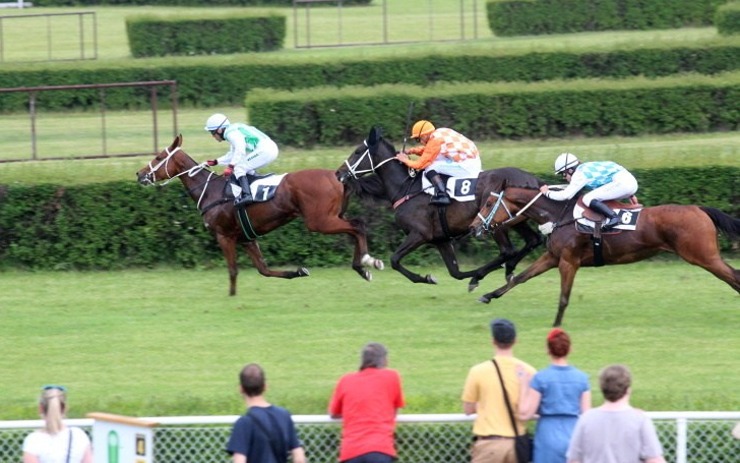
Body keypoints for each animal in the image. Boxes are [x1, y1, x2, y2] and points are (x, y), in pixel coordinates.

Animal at [135, 134, 384, 298]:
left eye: (158, 157)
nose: (139, 174)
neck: (211, 191)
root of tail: (337, 176)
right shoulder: (246, 238)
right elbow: (264, 270)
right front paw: (298, 271)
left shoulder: (224, 236)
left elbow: (233, 269)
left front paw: (231, 296)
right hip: (332, 216)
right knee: (357, 226)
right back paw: (362, 268)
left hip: (319, 221)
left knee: (357, 226)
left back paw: (367, 262)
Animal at [336, 125, 544, 288]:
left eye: (357, 151)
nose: (339, 173)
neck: (406, 187)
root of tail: (533, 179)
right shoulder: (441, 240)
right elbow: (455, 272)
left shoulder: (419, 233)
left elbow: (394, 260)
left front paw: (428, 278)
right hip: (517, 220)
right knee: (533, 240)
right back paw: (508, 269)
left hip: (494, 221)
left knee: (508, 250)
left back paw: (490, 272)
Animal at [472, 172, 740, 328]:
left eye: (488, 202)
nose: (475, 227)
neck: (560, 215)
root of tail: (699, 209)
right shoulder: (553, 257)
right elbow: (519, 278)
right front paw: (489, 295)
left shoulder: (568, 261)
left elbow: (564, 297)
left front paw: (556, 327)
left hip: (703, 256)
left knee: (734, 276)